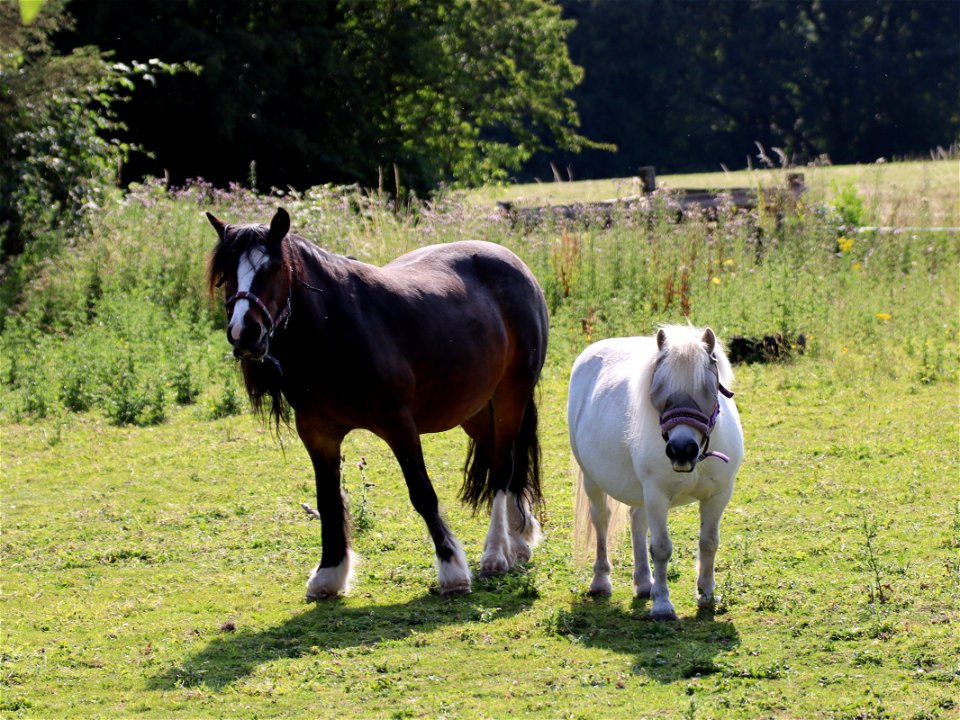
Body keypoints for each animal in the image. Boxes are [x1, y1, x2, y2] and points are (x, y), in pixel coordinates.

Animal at [206, 207, 548, 596]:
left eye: (274, 268)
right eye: (226, 274)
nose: (244, 333)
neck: (336, 329)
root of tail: (516, 266)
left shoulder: (399, 425)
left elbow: (422, 493)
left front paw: (452, 569)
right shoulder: (318, 434)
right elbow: (328, 500)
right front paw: (330, 572)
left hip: (510, 397)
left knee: (504, 468)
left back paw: (495, 552)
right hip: (475, 411)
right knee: (501, 463)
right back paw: (518, 539)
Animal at [568, 326, 744, 620]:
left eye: (709, 389)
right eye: (658, 388)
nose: (682, 450)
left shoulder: (718, 495)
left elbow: (709, 542)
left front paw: (707, 595)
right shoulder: (657, 495)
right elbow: (661, 548)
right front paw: (662, 604)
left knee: (637, 521)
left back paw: (643, 583)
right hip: (594, 481)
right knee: (602, 521)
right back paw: (602, 581)